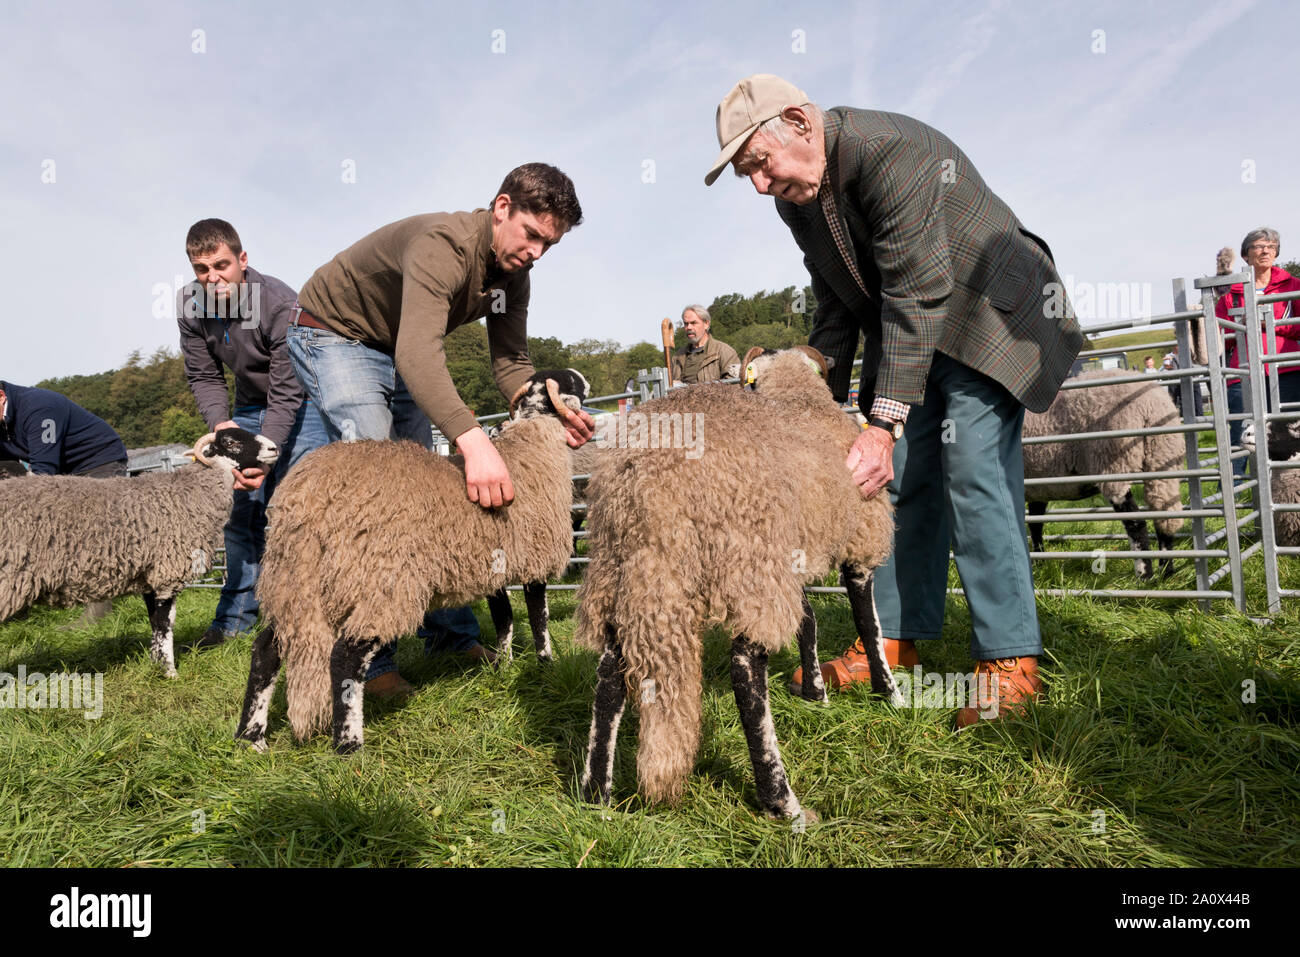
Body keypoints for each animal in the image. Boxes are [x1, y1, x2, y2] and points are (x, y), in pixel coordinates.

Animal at [0, 429, 276, 676]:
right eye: (230, 442)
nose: (274, 448)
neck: (189, 494)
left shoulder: (149, 577)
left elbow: (154, 622)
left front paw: (156, 664)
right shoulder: (167, 573)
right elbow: (165, 624)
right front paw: (170, 672)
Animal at [236, 369, 592, 748]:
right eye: (571, 381)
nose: (585, 380)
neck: (530, 444)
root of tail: (307, 494)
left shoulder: (493, 565)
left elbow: (504, 621)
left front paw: (503, 666)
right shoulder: (534, 557)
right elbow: (540, 621)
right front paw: (545, 667)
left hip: (296, 575)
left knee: (266, 649)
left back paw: (251, 738)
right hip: (379, 578)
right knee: (345, 656)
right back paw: (349, 744)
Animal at [577, 348, 894, 816]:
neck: (800, 396)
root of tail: (649, 472)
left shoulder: (792, 555)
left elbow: (808, 622)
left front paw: (815, 692)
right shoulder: (859, 541)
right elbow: (868, 624)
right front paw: (889, 693)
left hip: (627, 571)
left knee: (609, 675)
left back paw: (595, 794)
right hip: (745, 558)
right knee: (745, 668)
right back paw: (782, 802)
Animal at [1024, 369, 1190, 574]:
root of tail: (1150, 404)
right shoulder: (1039, 488)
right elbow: (1036, 524)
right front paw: (1040, 561)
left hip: (1113, 463)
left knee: (1136, 521)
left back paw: (1144, 573)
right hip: (1163, 457)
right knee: (1165, 516)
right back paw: (1166, 571)